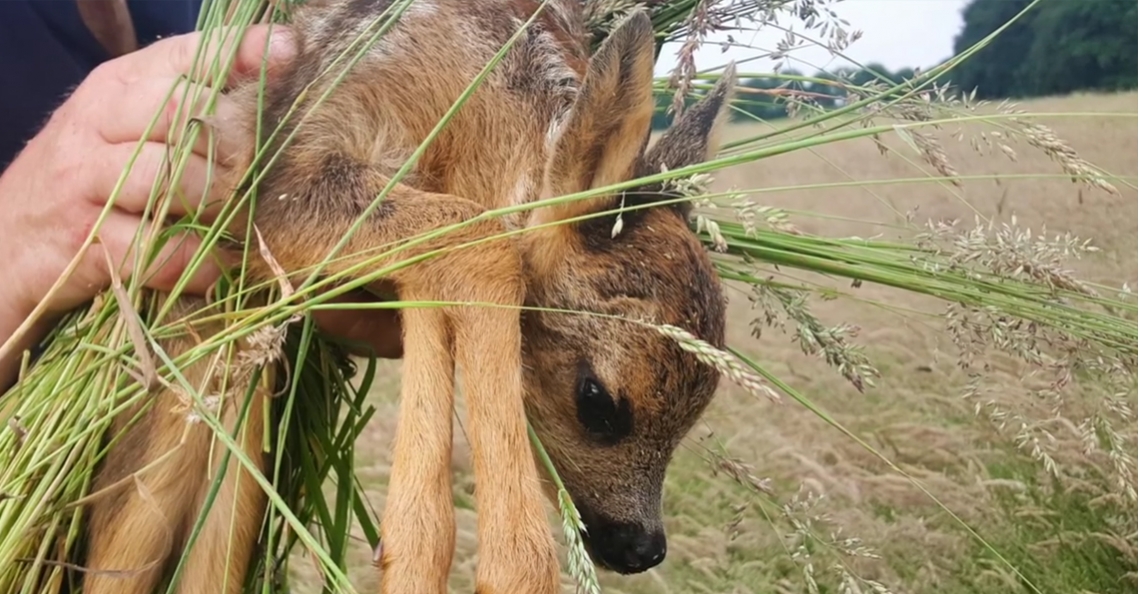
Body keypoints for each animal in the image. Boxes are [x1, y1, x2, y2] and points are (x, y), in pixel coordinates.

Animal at [84, 0, 734, 588]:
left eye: (701, 409)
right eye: (596, 401)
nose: (642, 548)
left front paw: (413, 556)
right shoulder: (283, 178)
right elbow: (484, 240)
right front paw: (511, 567)